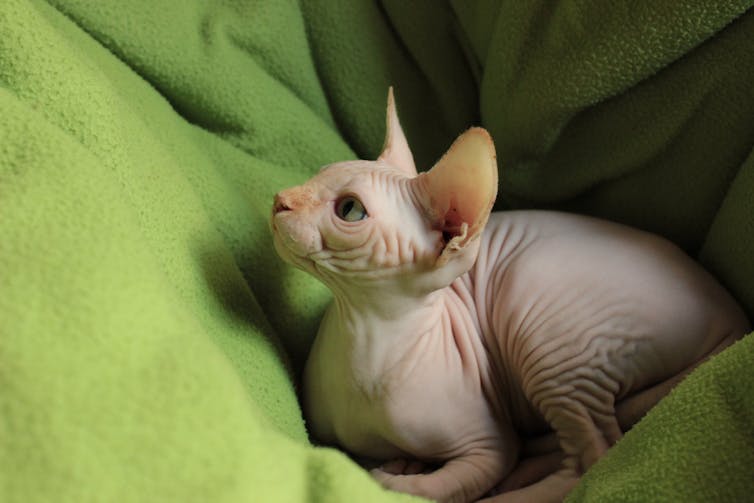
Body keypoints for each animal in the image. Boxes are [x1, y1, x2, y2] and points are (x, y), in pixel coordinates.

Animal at [268, 90, 748, 503]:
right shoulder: (323, 434)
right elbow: (349, 450)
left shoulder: (488, 443)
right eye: (320, 174)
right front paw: (403, 462)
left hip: (538, 314)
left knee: (590, 458)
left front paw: (396, 478)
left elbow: (451, 479)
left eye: (349, 210)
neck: (362, 335)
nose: (279, 200)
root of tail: (732, 316)